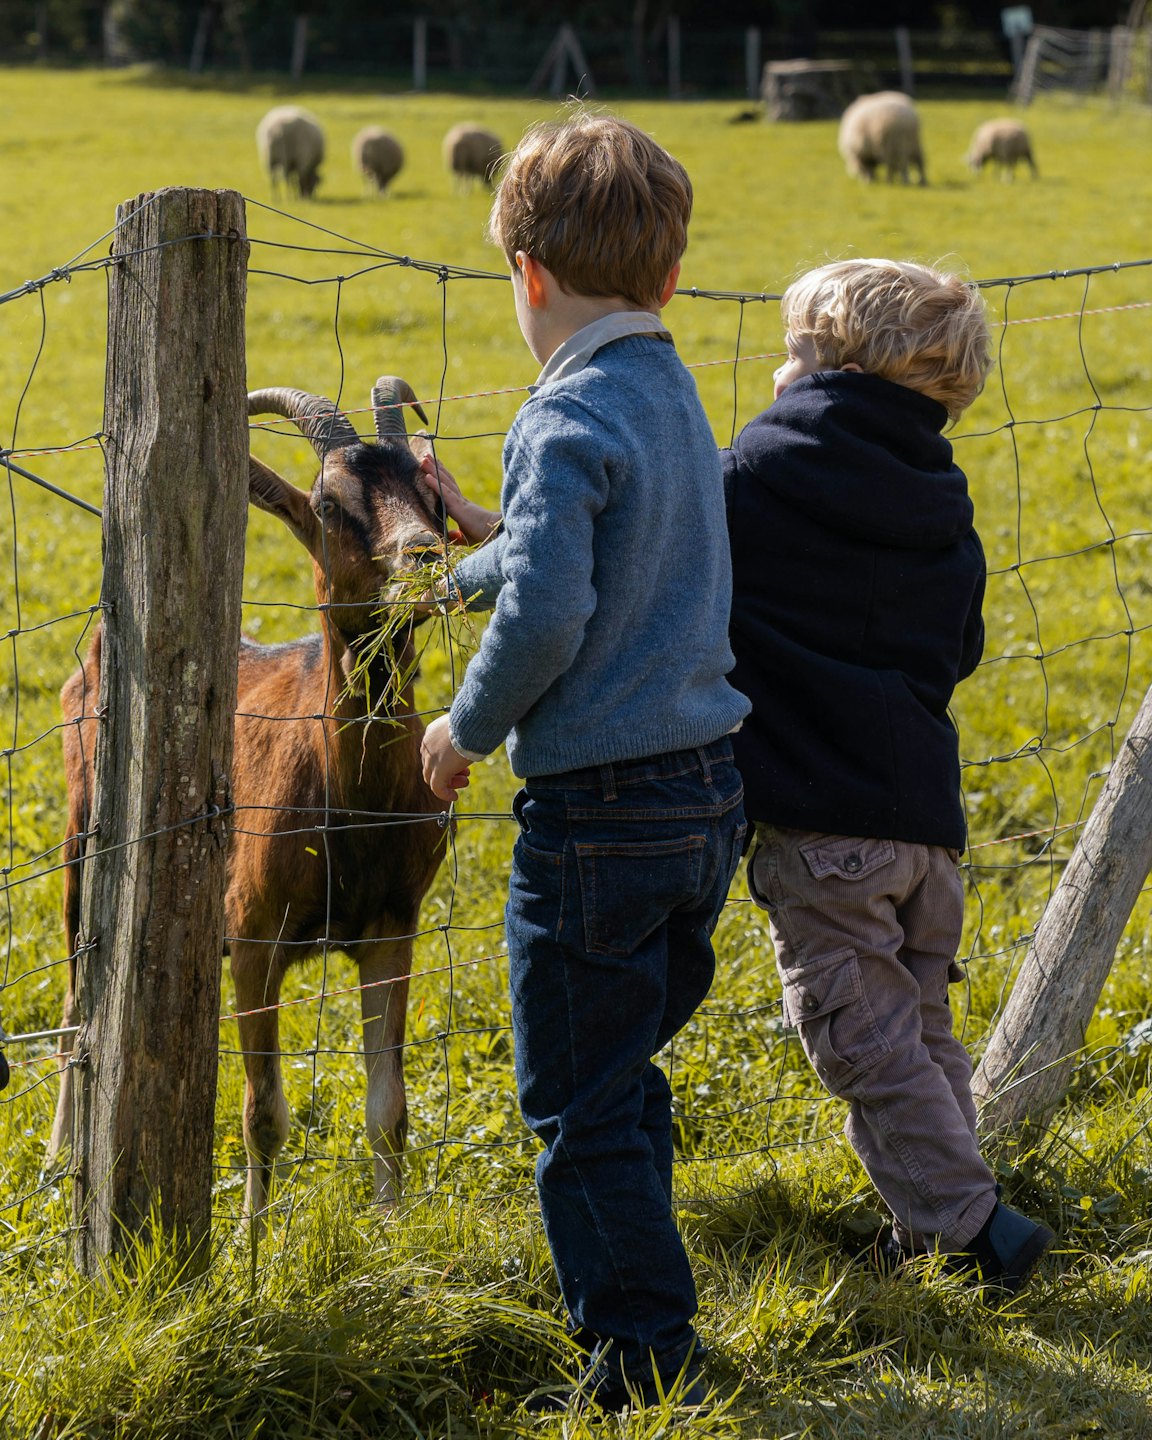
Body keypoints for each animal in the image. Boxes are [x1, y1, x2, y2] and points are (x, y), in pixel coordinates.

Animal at [50, 377, 449, 1227]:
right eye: (329, 504)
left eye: (430, 492)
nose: (426, 559)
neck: (351, 801)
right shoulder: (255, 934)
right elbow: (262, 1111)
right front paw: (252, 1239)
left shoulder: (393, 923)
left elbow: (389, 1107)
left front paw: (391, 1229)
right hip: (78, 845)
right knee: (72, 1012)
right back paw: (61, 1160)